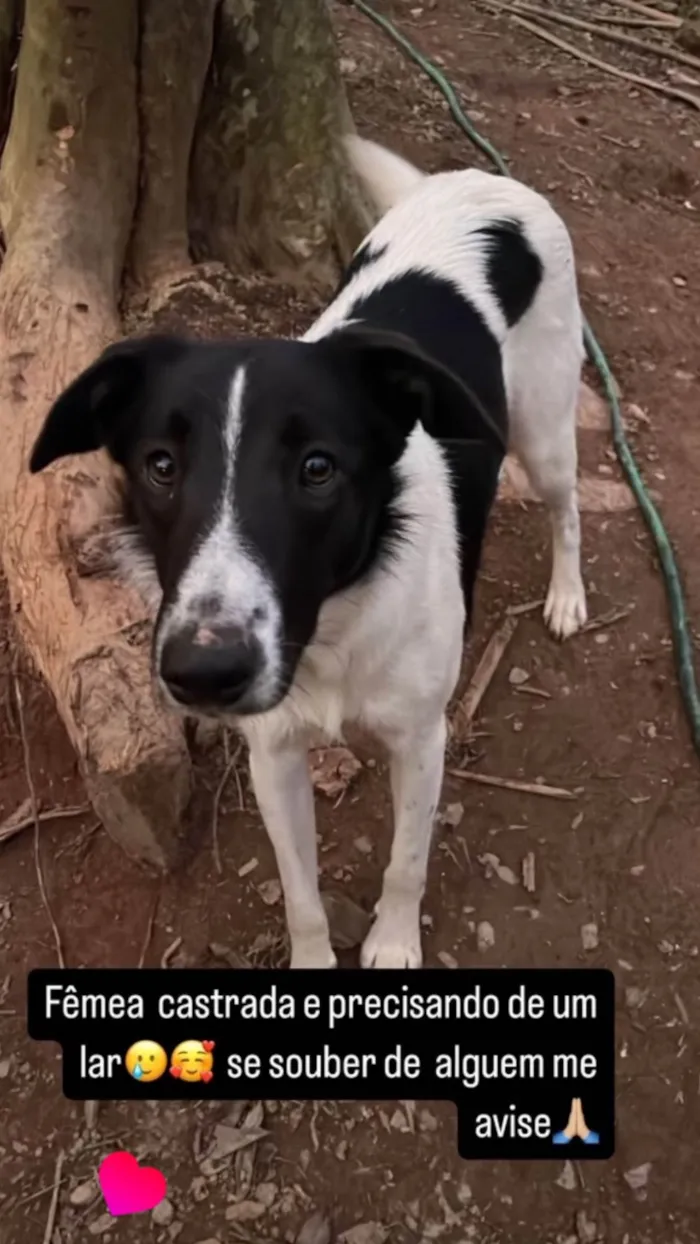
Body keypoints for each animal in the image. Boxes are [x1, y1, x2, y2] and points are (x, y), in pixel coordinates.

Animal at [28, 136, 586, 970]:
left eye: (317, 469)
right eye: (161, 465)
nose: (205, 671)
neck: (332, 622)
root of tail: (481, 181)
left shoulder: (423, 738)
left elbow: (406, 862)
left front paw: (393, 943)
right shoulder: (275, 756)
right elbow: (301, 895)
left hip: (545, 431)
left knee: (568, 508)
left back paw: (568, 595)